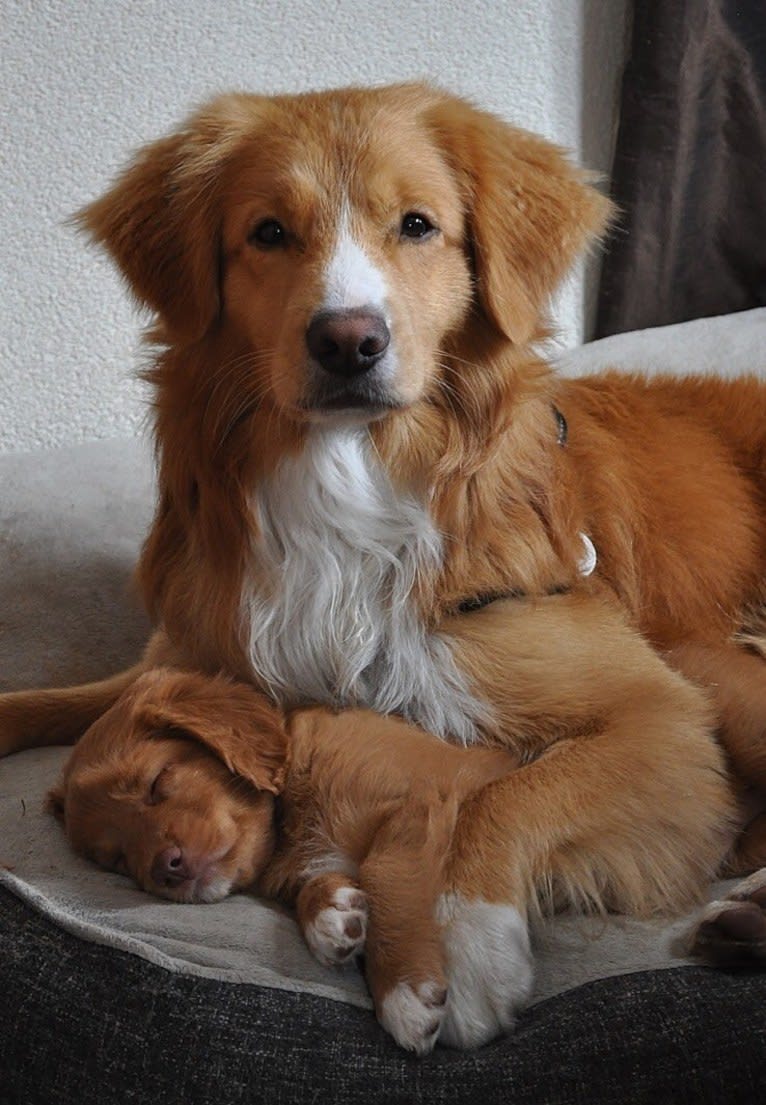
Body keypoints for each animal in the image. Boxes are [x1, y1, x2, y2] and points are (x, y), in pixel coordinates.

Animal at [1, 77, 764, 1034]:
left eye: (417, 224)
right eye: (268, 232)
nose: (348, 340)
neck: (350, 487)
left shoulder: (656, 716)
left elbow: (505, 796)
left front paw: (469, 949)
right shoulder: (199, 652)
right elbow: (54, 700)